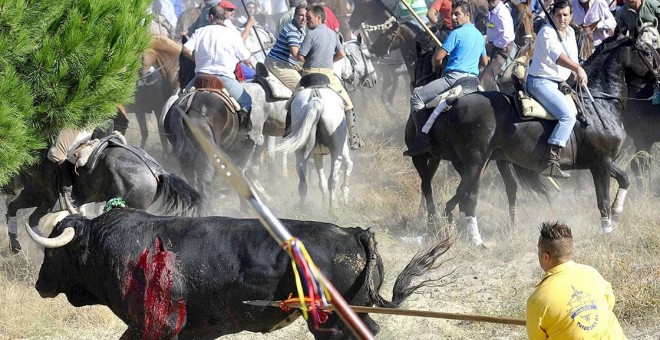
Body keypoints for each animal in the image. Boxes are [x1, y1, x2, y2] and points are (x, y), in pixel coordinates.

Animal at [404, 35, 656, 246]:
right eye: (647, 51)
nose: (658, 78)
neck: (598, 104)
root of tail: (455, 102)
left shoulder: (602, 161)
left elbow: (624, 179)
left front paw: (618, 210)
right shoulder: (601, 164)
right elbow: (602, 200)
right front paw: (607, 231)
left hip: (477, 163)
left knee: (465, 193)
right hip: (475, 162)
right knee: (468, 197)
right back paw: (477, 241)